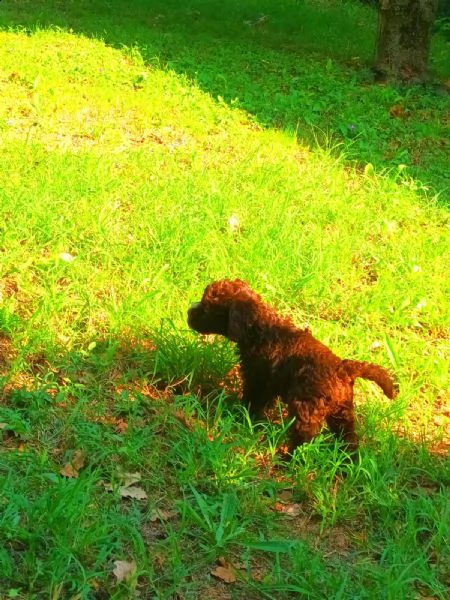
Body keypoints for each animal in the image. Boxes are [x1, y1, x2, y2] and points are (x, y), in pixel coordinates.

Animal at [187, 278, 398, 452]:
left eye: (206, 306)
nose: (188, 312)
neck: (259, 327)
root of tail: (342, 368)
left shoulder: (257, 378)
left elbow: (252, 400)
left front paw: (241, 416)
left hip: (306, 410)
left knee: (304, 438)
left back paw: (289, 458)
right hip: (342, 411)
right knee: (349, 439)